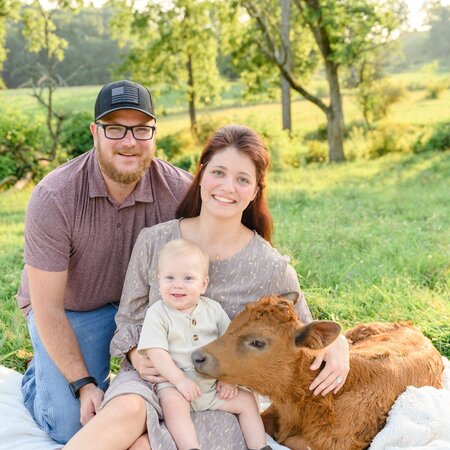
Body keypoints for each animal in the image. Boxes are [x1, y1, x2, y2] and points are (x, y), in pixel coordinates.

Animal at [192, 294, 444, 450]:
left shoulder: (337, 443)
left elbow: (294, 442)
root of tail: (412, 326)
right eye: (231, 326)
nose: (197, 356)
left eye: (257, 342)